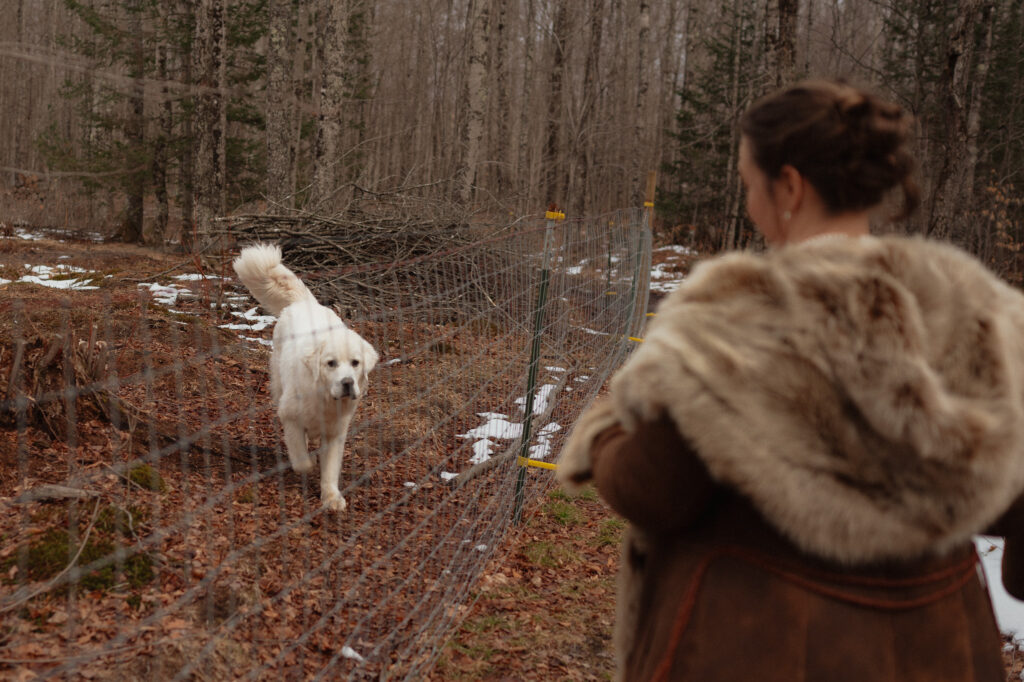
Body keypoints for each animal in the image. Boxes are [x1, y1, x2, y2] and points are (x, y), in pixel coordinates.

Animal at [230, 241, 378, 507]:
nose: (347, 383)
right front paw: (308, 467)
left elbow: (330, 470)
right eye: (330, 364)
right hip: (278, 383)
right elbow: (302, 460)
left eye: (355, 363)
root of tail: (305, 303)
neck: (324, 398)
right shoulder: (290, 418)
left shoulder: (335, 433)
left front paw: (331, 498)